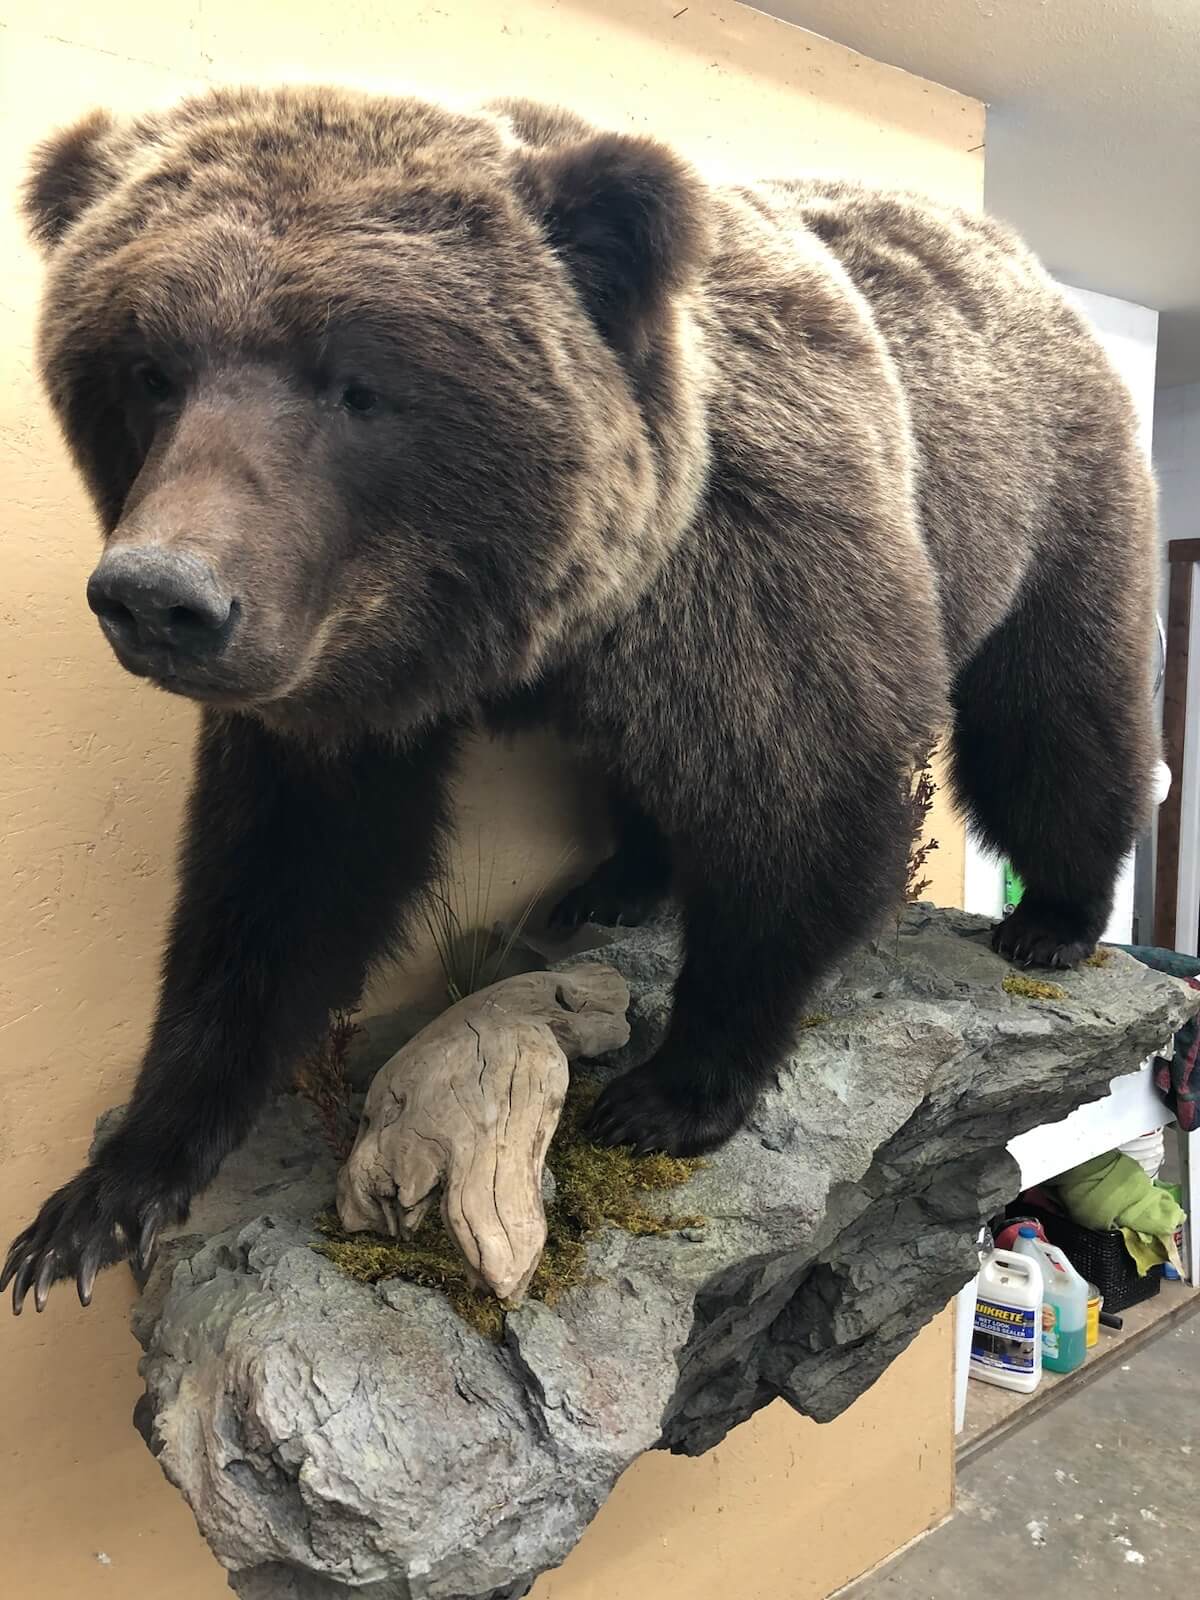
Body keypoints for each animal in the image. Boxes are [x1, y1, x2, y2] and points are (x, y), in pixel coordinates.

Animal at [4, 86, 1157, 1315]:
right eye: (148, 369)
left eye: (356, 382)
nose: (160, 596)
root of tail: (1018, 251)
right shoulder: (334, 681)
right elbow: (285, 881)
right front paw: (101, 1198)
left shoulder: (760, 569)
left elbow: (802, 817)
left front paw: (672, 1089)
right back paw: (614, 881)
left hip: (1043, 499)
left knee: (1055, 716)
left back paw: (1055, 916)